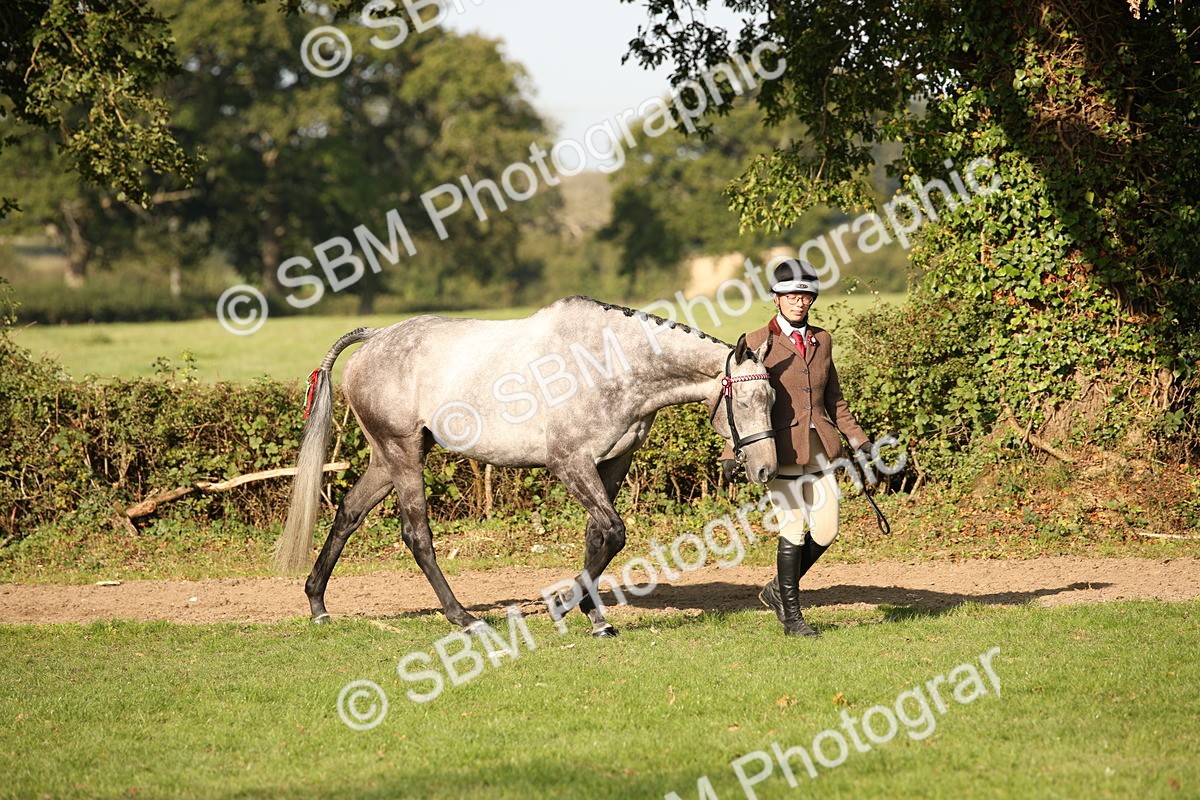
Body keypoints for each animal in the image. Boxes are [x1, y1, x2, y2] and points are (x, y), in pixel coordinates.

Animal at [273, 295, 778, 636]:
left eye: (773, 398)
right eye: (746, 401)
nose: (764, 471)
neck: (612, 364)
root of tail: (375, 338)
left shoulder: (613, 464)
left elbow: (597, 537)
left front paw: (595, 617)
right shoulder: (570, 463)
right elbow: (614, 533)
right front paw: (562, 606)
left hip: (387, 459)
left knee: (348, 514)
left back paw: (317, 603)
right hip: (404, 455)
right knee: (416, 535)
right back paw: (464, 618)